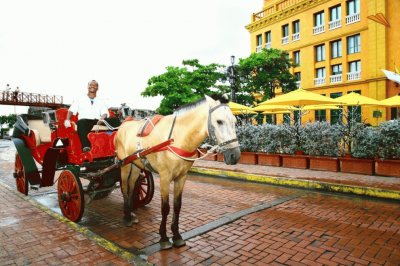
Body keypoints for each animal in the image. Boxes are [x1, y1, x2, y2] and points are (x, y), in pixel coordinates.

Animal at [115, 95, 241, 249]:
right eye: (219, 121)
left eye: (235, 121)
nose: (235, 155)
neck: (176, 139)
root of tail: (122, 126)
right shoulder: (164, 177)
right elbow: (165, 207)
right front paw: (163, 238)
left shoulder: (182, 177)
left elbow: (177, 205)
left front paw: (176, 235)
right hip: (124, 165)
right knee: (124, 188)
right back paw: (127, 216)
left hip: (136, 165)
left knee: (132, 186)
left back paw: (132, 213)